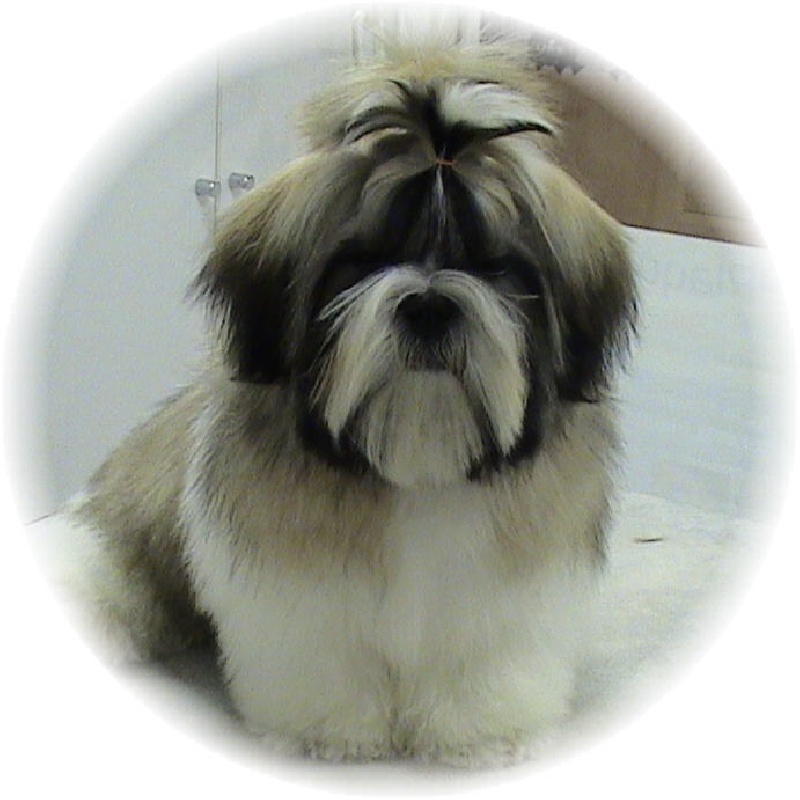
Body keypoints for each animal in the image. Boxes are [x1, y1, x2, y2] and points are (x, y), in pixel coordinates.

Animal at [39, 42, 636, 767]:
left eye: (493, 263)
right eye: (365, 258)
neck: (417, 456)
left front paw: (485, 737)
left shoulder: (505, 595)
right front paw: (326, 737)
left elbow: (482, 662)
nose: (429, 304)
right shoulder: (298, 590)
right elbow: (323, 658)